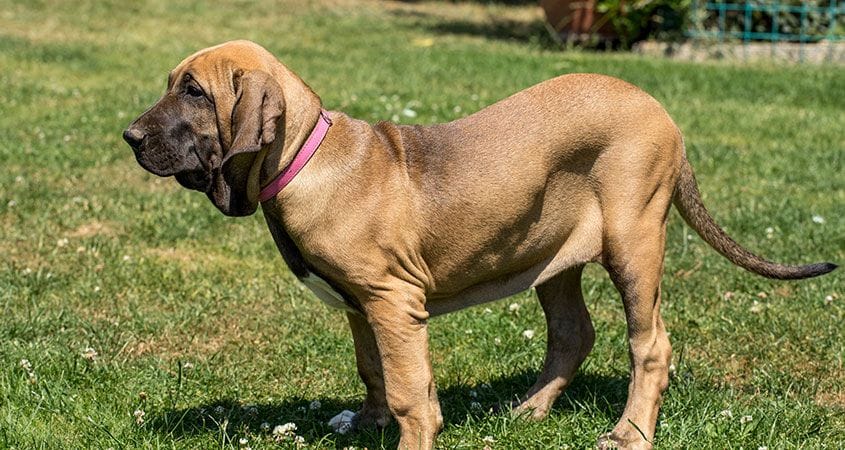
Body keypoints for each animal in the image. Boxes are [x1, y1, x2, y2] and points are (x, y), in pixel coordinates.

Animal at [122, 40, 836, 448]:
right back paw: (531, 411)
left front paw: (411, 435)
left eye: (193, 91)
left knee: (650, 344)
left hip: (634, 240)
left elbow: (410, 390)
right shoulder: (362, 305)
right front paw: (368, 423)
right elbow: (373, 368)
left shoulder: (393, 301)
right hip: (553, 253)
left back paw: (630, 433)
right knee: (573, 333)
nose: (129, 137)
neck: (304, 158)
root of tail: (660, 110)